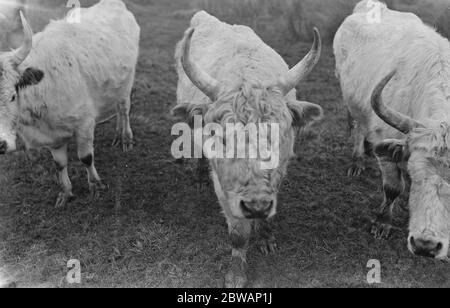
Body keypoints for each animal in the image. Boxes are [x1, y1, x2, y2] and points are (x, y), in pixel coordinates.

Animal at [0, 0, 140, 207]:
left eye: (12, 96)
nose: (1, 144)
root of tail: (114, 4)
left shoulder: (84, 124)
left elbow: (86, 158)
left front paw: (95, 185)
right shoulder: (52, 137)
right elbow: (59, 164)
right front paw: (66, 192)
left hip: (127, 82)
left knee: (124, 110)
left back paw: (126, 139)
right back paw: (116, 136)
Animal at [173, 10, 324, 288]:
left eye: (279, 134)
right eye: (221, 137)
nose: (256, 207)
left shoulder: (278, 174)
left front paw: (266, 237)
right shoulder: (225, 187)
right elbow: (238, 234)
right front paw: (237, 274)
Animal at [332, 0, 450, 260]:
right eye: (414, 175)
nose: (425, 246)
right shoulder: (387, 148)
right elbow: (393, 187)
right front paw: (382, 223)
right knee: (358, 126)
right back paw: (357, 160)